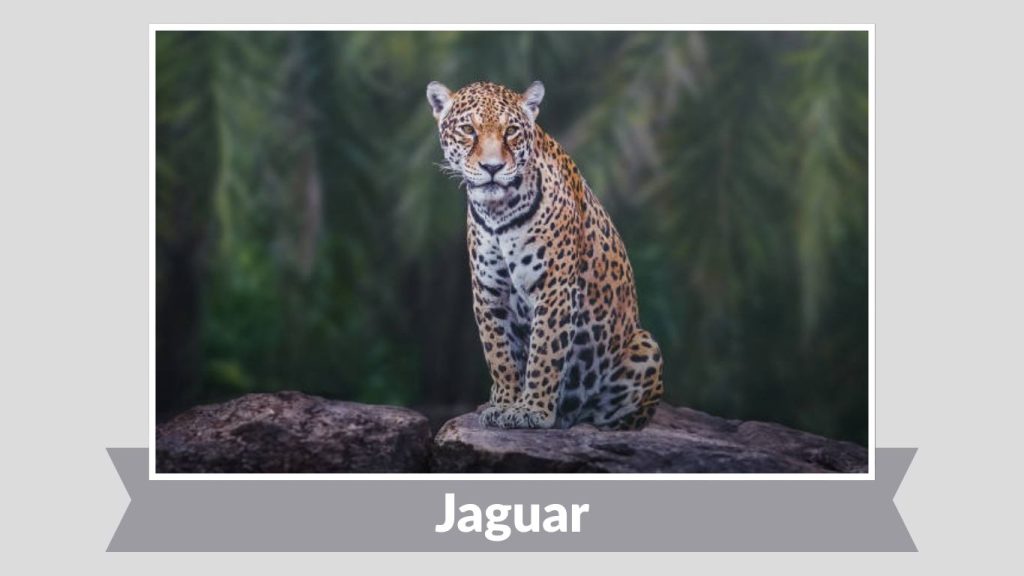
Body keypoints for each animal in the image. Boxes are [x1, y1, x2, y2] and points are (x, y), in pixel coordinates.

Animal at [426, 80, 664, 430]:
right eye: (468, 130)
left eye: (511, 130)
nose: (493, 167)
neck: (498, 211)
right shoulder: (488, 291)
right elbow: (499, 354)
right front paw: (505, 403)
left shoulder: (554, 288)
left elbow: (545, 353)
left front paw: (532, 410)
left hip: (646, 347)